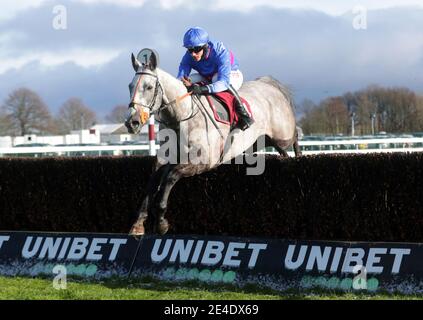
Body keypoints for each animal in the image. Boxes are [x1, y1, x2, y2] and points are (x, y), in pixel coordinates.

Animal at [126, 48, 302, 236]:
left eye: (149, 87)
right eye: (130, 86)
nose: (132, 122)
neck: (181, 116)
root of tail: (268, 84)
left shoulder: (203, 162)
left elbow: (170, 178)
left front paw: (161, 222)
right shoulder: (167, 158)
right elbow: (153, 182)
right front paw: (138, 224)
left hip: (282, 135)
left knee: (294, 137)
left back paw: (299, 156)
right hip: (261, 142)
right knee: (283, 153)